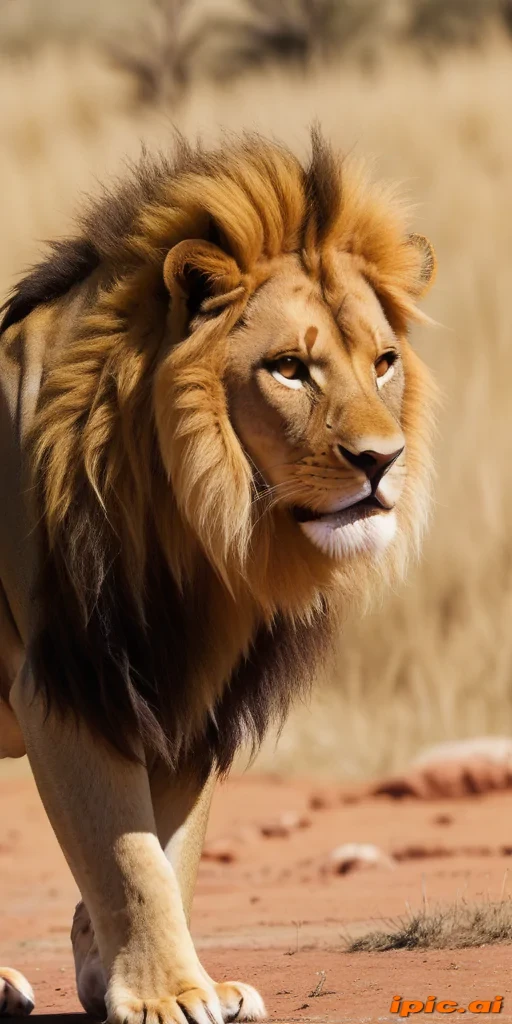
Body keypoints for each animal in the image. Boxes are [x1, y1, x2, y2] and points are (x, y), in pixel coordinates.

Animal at [0, 130, 437, 1022]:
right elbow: (127, 855)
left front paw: (122, 978)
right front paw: (166, 994)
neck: (196, 527)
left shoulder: (186, 693)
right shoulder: (69, 678)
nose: (382, 461)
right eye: (290, 368)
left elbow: (174, 854)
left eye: (383, 362)